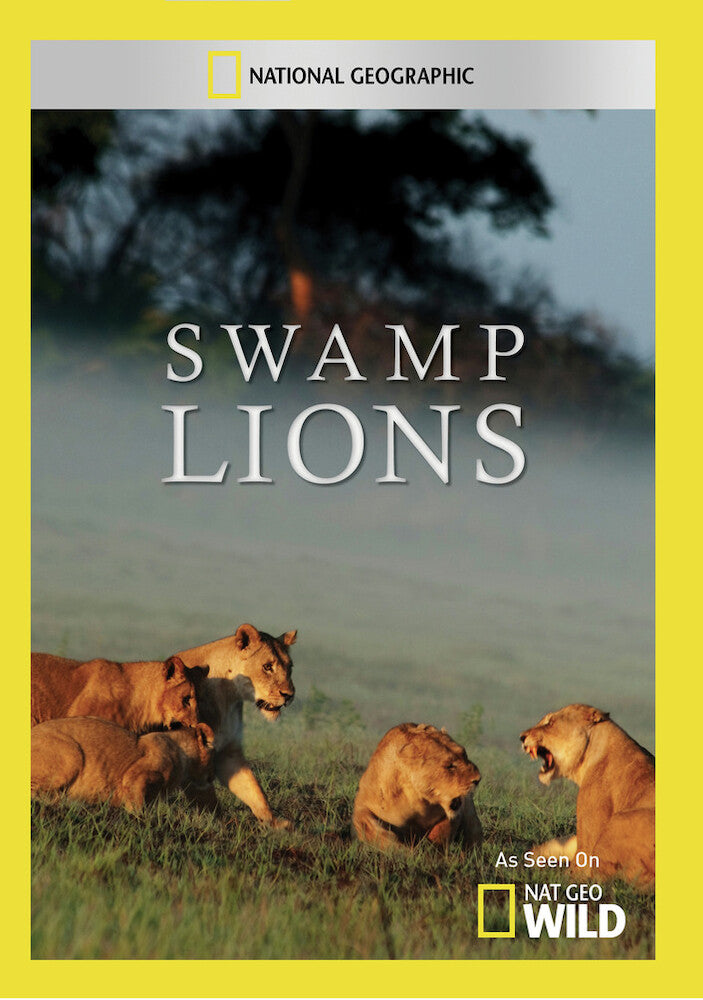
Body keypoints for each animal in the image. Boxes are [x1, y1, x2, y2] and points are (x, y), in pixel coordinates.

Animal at [352, 723, 482, 849]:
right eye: (450, 766)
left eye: (464, 755)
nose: (478, 779)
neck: (415, 797)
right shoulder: (362, 808)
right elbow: (378, 835)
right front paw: (407, 853)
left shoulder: (453, 815)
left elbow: (441, 833)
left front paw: (431, 851)